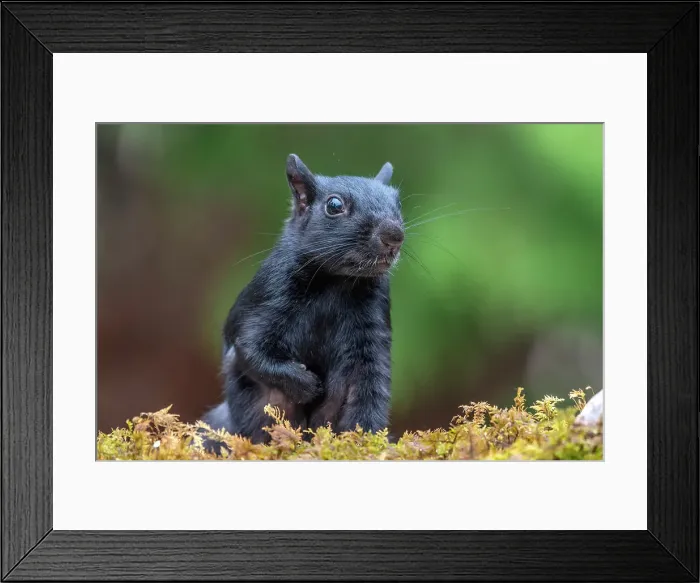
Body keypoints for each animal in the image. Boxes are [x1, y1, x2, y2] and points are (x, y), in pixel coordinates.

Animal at [200, 153, 404, 446]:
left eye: (398, 202)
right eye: (334, 205)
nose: (394, 236)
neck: (337, 281)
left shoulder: (372, 332)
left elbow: (369, 388)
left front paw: (367, 439)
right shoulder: (268, 297)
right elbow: (251, 349)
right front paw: (307, 385)